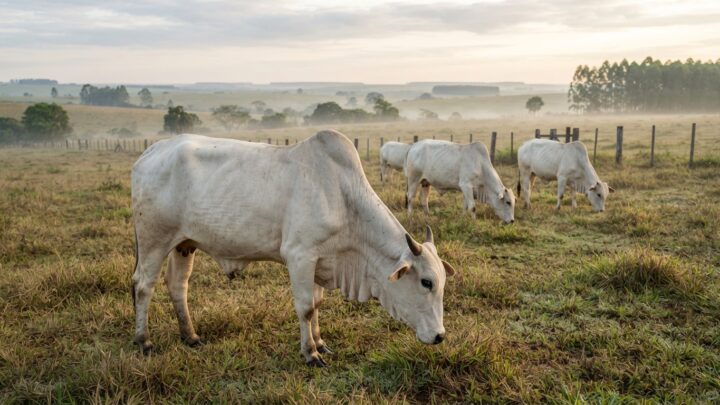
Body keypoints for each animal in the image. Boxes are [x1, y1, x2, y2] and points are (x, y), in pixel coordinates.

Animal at [131, 131, 456, 367]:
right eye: (426, 282)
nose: (440, 336)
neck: (343, 198)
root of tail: (150, 152)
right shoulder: (300, 257)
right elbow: (306, 307)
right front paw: (311, 353)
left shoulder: (321, 259)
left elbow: (317, 304)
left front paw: (321, 342)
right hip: (153, 241)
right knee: (143, 286)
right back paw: (144, 339)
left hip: (183, 244)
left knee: (178, 286)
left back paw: (190, 336)